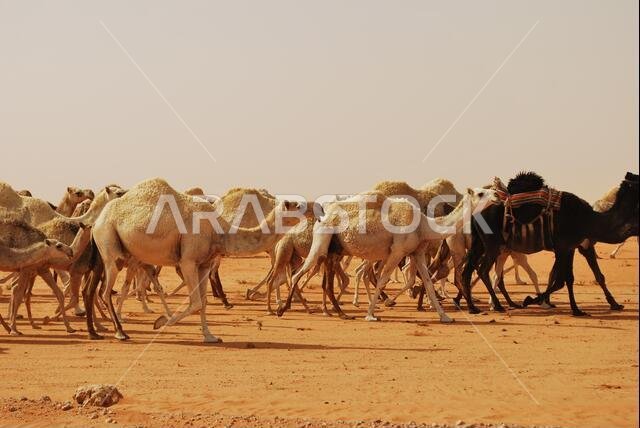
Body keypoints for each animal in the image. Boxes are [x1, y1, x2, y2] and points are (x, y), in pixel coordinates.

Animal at [84, 178, 307, 342]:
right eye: (294, 205)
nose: (308, 211)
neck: (218, 231)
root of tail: (95, 223)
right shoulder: (188, 261)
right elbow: (195, 302)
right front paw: (161, 321)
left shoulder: (204, 264)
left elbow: (204, 302)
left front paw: (210, 336)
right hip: (109, 245)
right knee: (105, 291)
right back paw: (120, 332)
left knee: (94, 289)